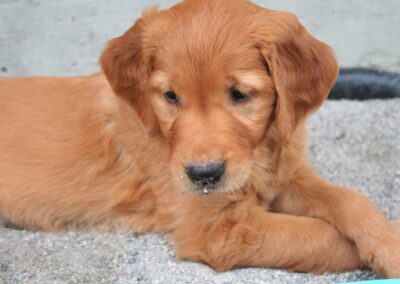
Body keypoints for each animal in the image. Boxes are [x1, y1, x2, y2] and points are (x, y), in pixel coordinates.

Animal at [0, 0, 400, 278]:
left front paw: (386, 240)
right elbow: (323, 235)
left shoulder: (287, 176)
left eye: (240, 94)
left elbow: (349, 198)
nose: (203, 175)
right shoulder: (218, 229)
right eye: (170, 97)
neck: (260, 153)